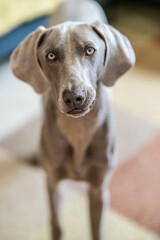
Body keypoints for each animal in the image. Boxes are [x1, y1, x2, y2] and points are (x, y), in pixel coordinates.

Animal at [10, 0, 135, 240]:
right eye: (50, 56)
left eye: (89, 50)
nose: (74, 96)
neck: (78, 129)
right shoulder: (52, 183)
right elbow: (56, 224)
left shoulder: (98, 188)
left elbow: (96, 230)